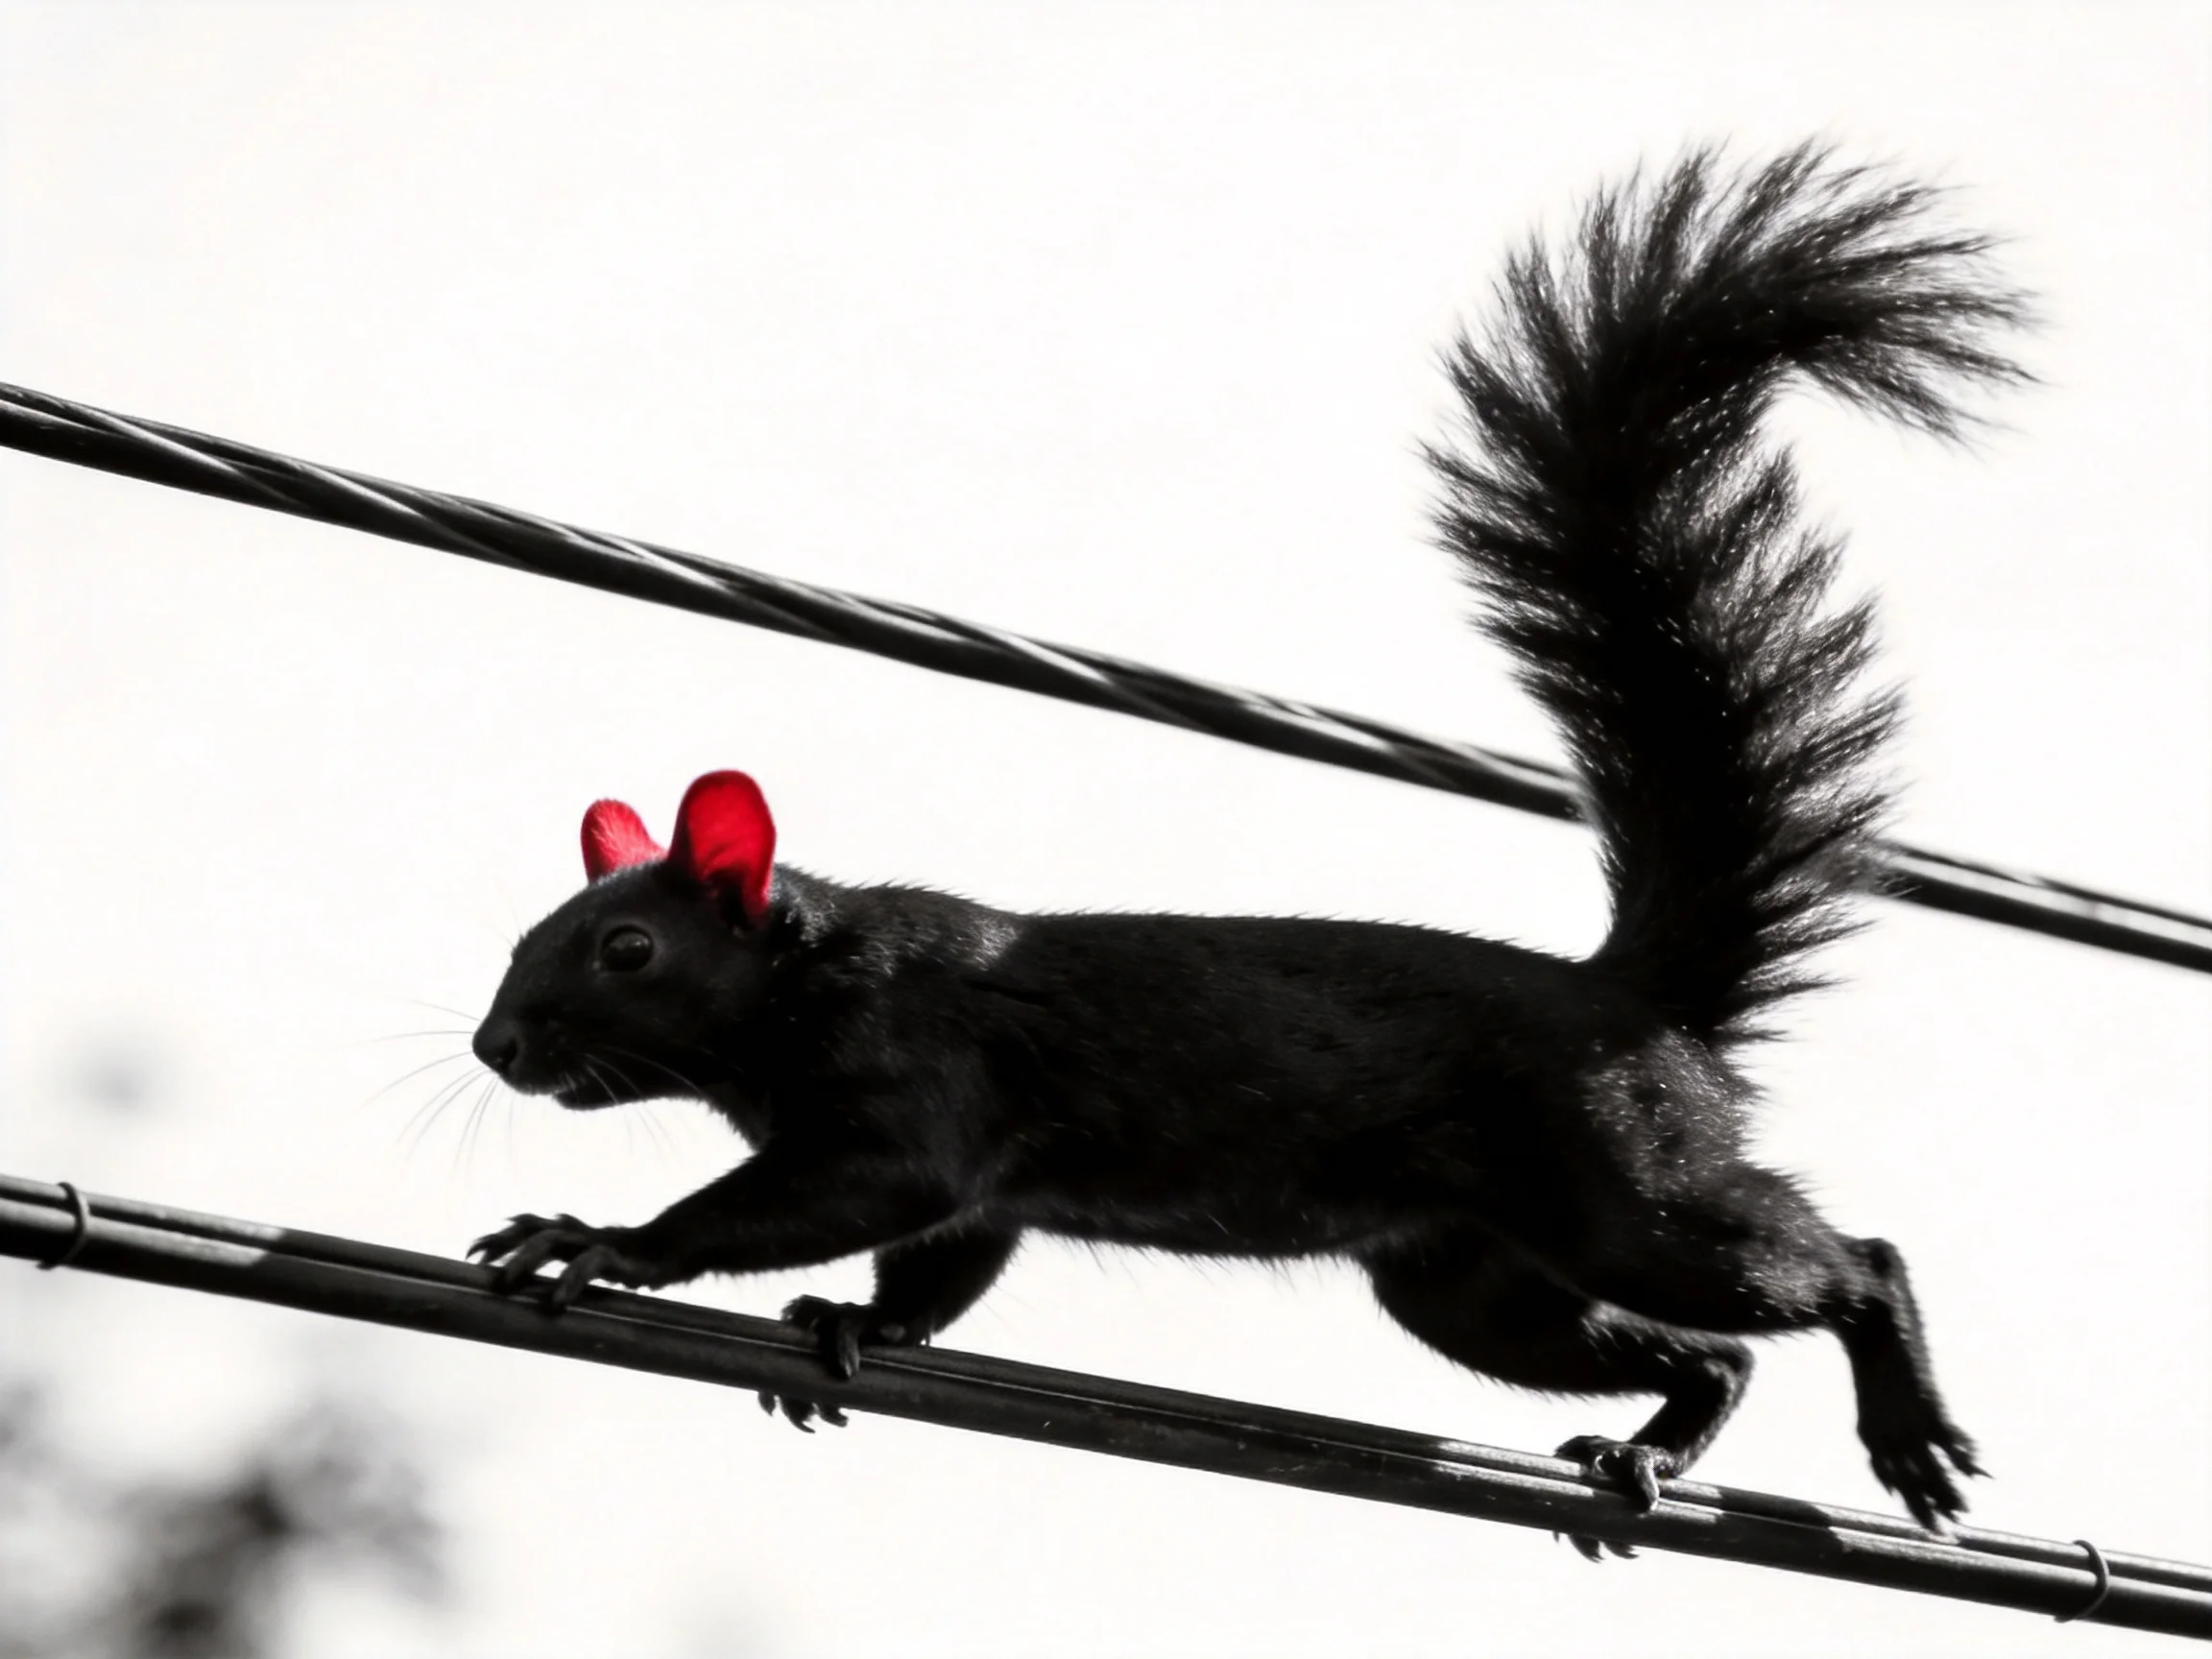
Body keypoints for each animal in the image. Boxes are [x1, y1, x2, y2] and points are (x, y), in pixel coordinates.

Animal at [467, 144, 2028, 1538]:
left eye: (625, 947)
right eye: (526, 937)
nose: (496, 1043)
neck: (804, 980)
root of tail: (1636, 1001)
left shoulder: (919, 1085)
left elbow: (857, 1195)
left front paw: (600, 1242)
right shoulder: (977, 1185)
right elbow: (940, 1264)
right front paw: (849, 1327)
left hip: (1626, 1184)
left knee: (1831, 1269)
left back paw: (1905, 1420)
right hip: (1466, 1282)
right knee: (1712, 1351)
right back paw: (1651, 1451)